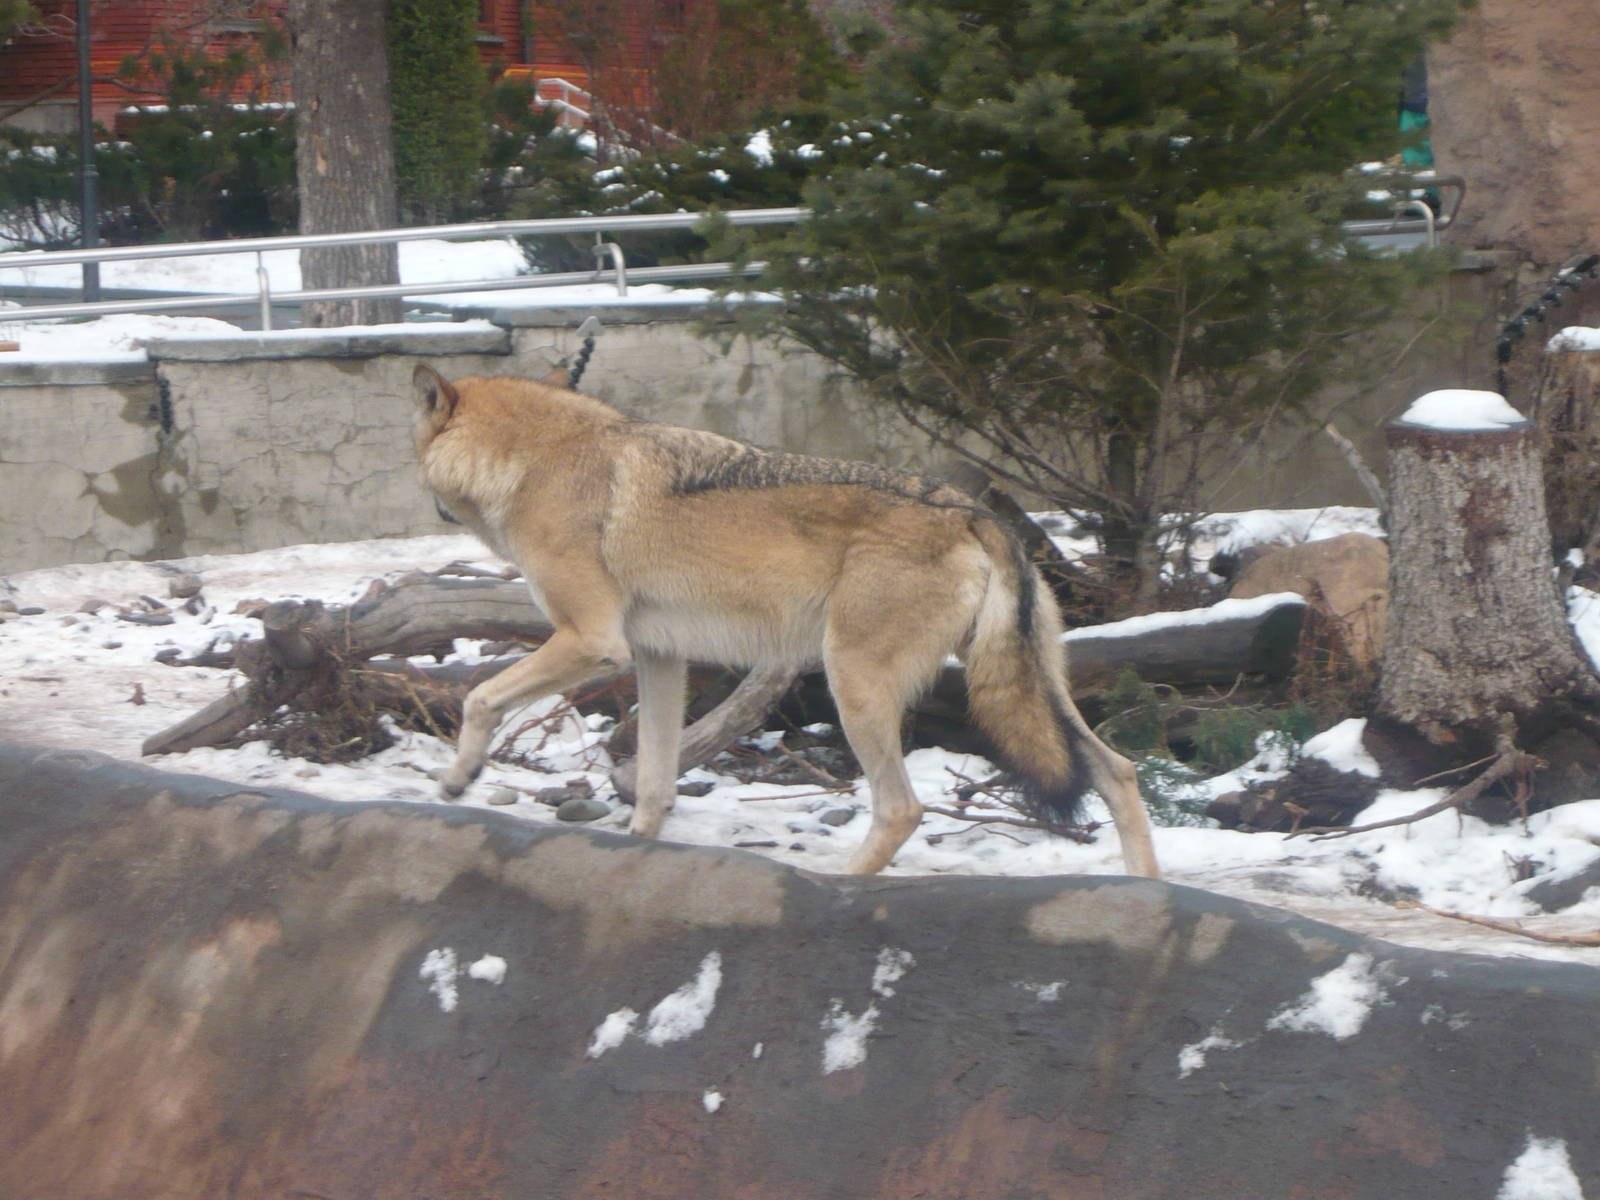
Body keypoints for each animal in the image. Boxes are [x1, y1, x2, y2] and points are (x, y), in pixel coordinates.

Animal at [411, 365, 1159, 878]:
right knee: (1119, 773)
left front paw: (457, 778)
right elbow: (653, 781)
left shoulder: (594, 643)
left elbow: (478, 698)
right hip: (1032, 689)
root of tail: (973, 511)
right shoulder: (657, 657)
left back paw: (843, 884)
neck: (535, 460)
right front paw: (638, 852)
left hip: (852, 685)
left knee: (901, 809)